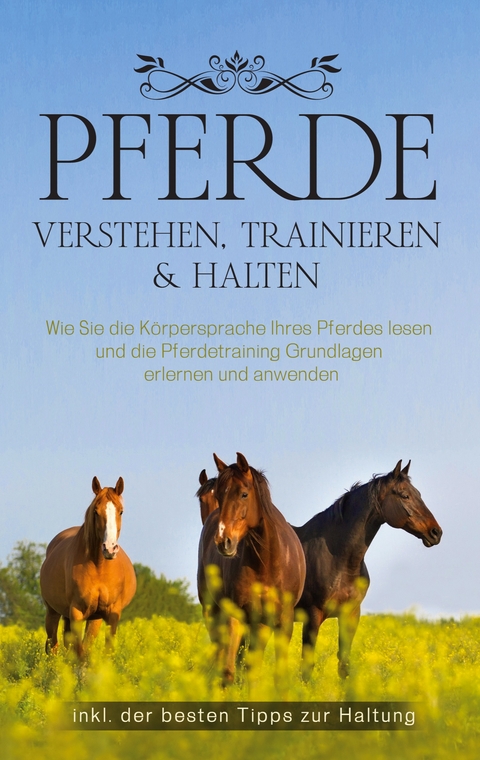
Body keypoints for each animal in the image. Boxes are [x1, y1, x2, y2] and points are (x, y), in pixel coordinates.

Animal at [40, 476, 136, 658]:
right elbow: (80, 653)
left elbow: (101, 650)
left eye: (121, 511)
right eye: (96, 511)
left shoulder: (111, 615)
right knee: (52, 646)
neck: (99, 566)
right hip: (53, 612)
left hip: (92, 618)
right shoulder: (76, 613)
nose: (109, 548)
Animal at [197, 452, 306, 685]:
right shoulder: (235, 616)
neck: (267, 562)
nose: (223, 541)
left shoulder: (283, 621)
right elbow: (228, 670)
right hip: (213, 611)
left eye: (244, 494)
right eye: (219, 495)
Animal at [292, 460, 442, 679]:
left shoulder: (351, 615)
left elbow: (344, 664)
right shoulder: (312, 615)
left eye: (418, 493)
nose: (436, 532)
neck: (339, 560)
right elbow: (306, 667)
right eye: (405, 495)